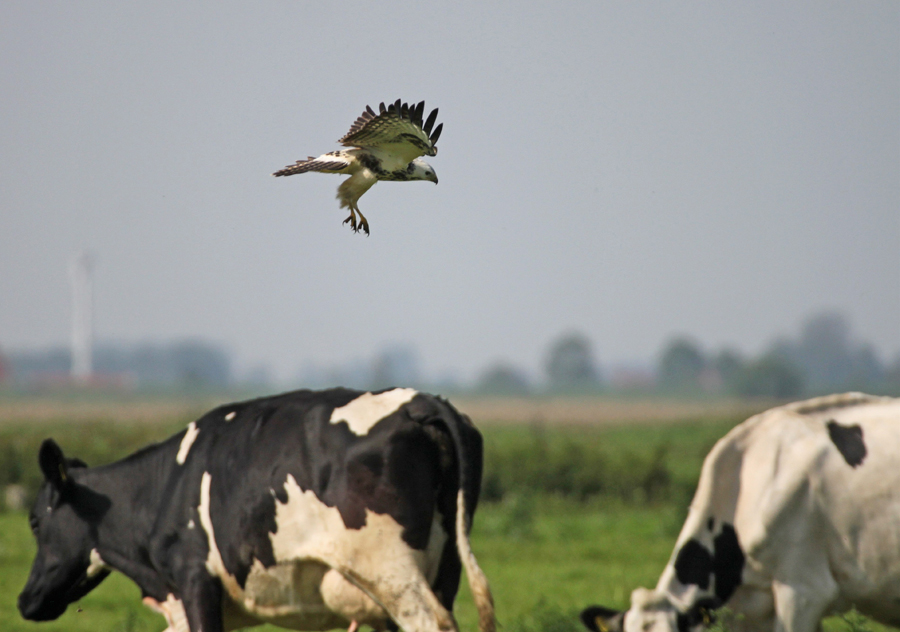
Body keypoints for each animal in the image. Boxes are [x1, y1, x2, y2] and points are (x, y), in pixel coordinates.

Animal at [17, 386, 496, 632]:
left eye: (36, 521)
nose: (24, 599)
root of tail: (420, 401)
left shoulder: (195, 580)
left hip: (390, 571)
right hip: (442, 567)